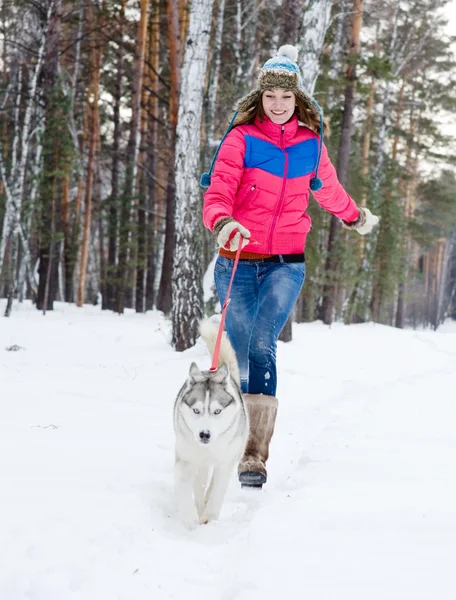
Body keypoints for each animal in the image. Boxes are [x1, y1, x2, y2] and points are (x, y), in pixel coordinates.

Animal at [174, 322, 249, 528]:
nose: (204, 434)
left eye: (217, 411)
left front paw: (210, 517)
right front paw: (190, 519)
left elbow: (217, 491)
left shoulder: (226, 461)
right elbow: (187, 488)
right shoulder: (187, 460)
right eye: (196, 410)